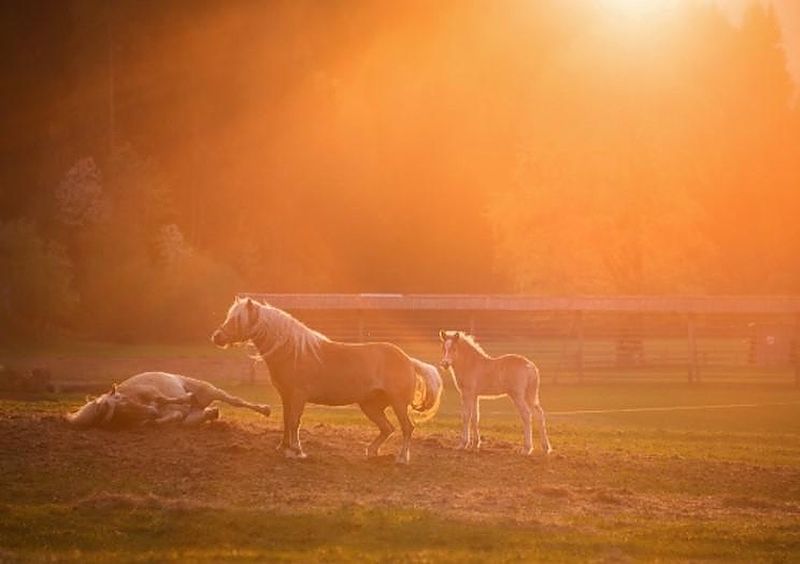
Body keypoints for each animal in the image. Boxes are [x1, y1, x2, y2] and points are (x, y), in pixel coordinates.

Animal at [65, 371, 272, 428]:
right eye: (119, 416)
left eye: (121, 401)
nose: (151, 412)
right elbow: (169, 416)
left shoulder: (152, 392)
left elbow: (164, 399)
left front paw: (186, 398)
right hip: (193, 418)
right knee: (198, 416)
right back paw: (212, 413)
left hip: (210, 391)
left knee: (236, 401)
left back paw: (264, 409)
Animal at [211, 297, 443, 463]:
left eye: (238, 319)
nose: (216, 337)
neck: (293, 351)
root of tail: (408, 360)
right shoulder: (286, 396)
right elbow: (286, 420)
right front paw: (283, 448)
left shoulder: (298, 396)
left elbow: (294, 422)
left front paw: (296, 451)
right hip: (370, 406)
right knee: (388, 428)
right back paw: (371, 452)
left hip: (398, 404)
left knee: (407, 428)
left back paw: (401, 458)